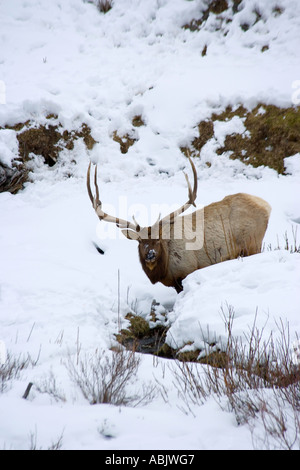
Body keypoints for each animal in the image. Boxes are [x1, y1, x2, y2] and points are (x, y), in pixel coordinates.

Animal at [86, 160, 272, 292]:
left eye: (158, 239)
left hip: (252, 243)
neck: (164, 270)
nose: (150, 254)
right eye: (139, 241)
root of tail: (267, 206)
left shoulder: (186, 271)